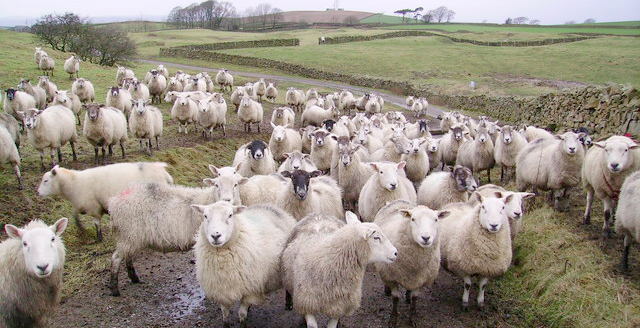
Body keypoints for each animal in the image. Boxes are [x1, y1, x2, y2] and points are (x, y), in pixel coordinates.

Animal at [107, 176, 248, 296]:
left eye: (236, 184)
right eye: (216, 185)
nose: (226, 200)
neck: (207, 200)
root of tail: (114, 202)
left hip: (131, 237)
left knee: (128, 257)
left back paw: (134, 278)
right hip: (128, 234)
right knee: (116, 259)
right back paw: (115, 289)